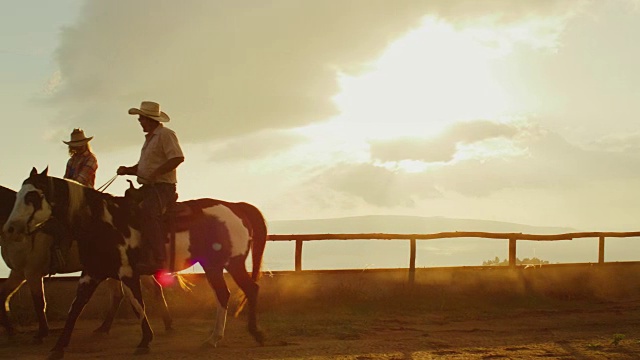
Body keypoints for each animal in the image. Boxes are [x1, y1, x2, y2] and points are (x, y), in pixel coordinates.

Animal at [0, 184, 174, 342]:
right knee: (124, 294)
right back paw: (106, 328)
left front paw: (41, 333)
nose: (10, 229)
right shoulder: (18, 272)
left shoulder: (32, 272)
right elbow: (4, 295)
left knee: (149, 290)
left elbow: (38, 302)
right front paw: (11, 331)